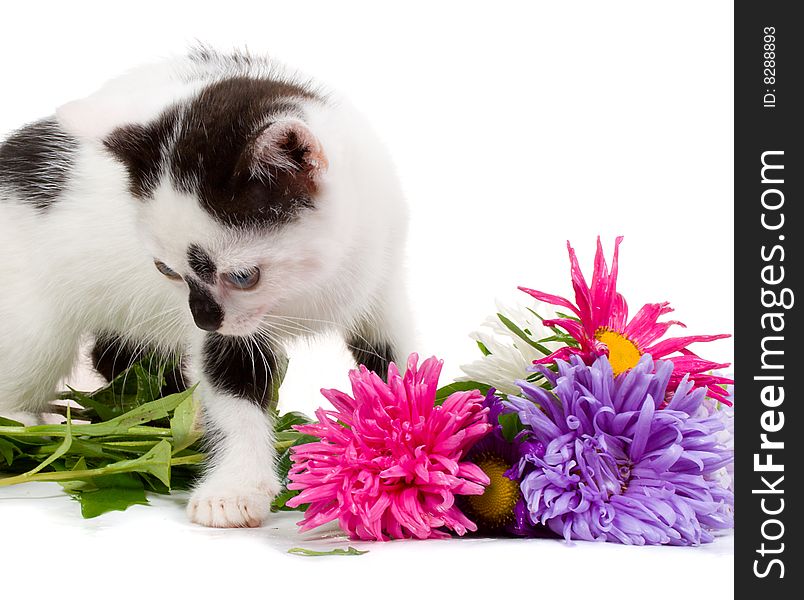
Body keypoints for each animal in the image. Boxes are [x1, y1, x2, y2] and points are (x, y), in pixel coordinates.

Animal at [0, 49, 414, 528]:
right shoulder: (224, 331)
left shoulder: (382, 278)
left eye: (242, 276)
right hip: (30, 319)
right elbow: (231, 385)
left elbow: (398, 366)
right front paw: (235, 488)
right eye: (166, 270)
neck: (307, 288)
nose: (201, 318)